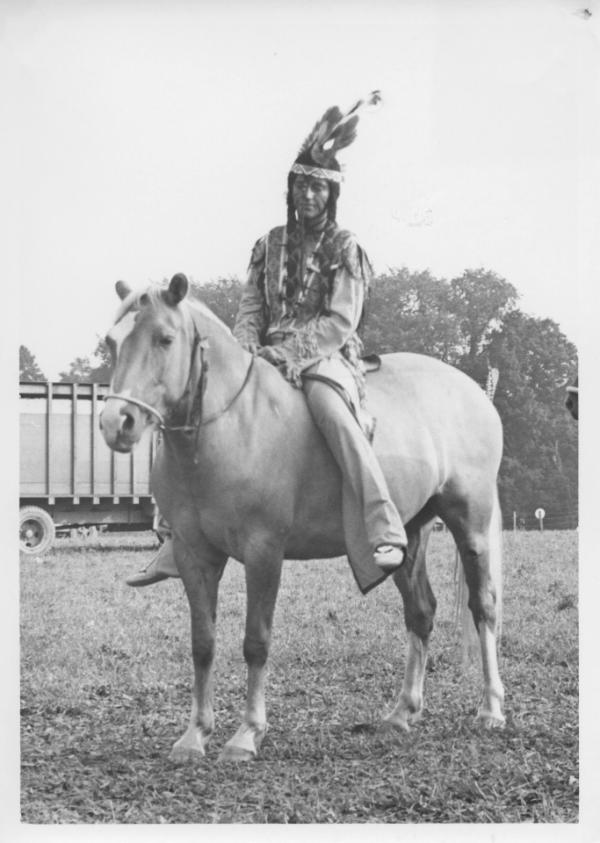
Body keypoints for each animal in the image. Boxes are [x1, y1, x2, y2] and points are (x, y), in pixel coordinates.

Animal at [100, 274, 505, 762]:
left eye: (164, 338)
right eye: (111, 342)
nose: (116, 422)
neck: (234, 425)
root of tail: (474, 391)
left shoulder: (263, 552)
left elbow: (256, 641)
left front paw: (247, 733)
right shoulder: (195, 555)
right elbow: (203, 644)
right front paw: (195, 734)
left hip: (471, 523)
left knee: (483, 606)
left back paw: (491, 709)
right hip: (410, 532)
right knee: (421, 612)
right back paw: (402, 712)